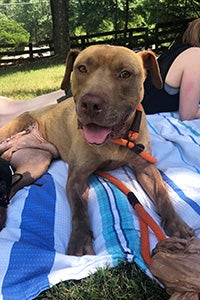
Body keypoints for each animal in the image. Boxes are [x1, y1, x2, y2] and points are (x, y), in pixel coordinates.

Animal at [0, 44, 194, 255]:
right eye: (82, 68)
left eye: (125, 73)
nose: (91, 103)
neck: (116, 139)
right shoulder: (77, 177)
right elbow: (79, 210)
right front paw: (80, 240)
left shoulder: (146, 168)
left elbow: (163, 195)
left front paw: (177, 224)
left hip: (36, 163)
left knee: (13, 185)